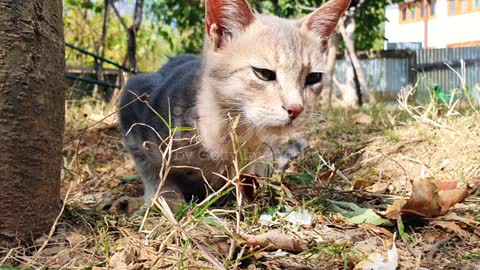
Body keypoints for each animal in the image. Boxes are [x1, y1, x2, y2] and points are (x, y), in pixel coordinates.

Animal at [118, 0, 350, 212]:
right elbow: (152, 172)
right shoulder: (133, 97)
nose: (296, 108)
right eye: (264, 73)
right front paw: (165, 201)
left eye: (313, 78)